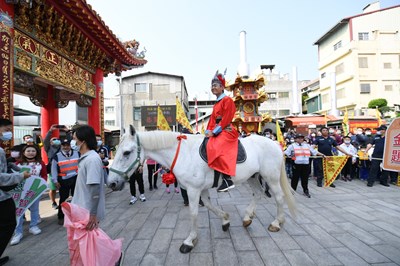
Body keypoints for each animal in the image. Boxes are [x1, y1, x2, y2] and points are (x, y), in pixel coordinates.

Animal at [108, 127, 296, 254]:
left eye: (126, 153)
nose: (111, 183)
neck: (182, 153)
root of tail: (274, 143)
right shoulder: (201, 189)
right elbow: (209, 206)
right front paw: (225, 220)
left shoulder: (193, 190)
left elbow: (193, 213)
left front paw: (190, 241)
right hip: (253, 176)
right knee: (258, 194)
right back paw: (247, 217)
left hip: (270, 177)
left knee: (279, 197)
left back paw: (276, 223)